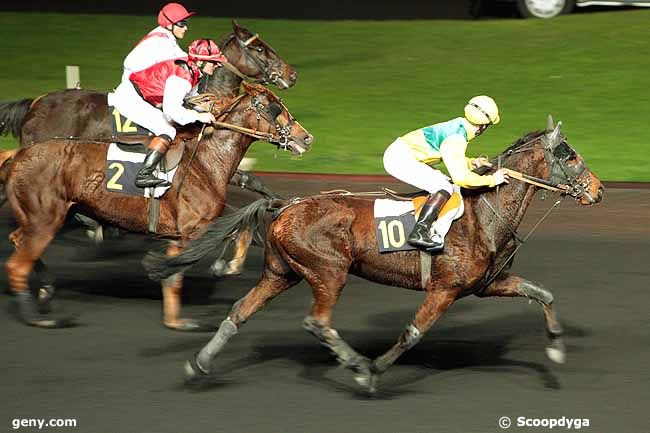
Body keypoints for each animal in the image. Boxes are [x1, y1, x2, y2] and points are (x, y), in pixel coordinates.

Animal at [144, 116, 600, 390]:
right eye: (571, 155)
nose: (598, 190)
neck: (484, 213)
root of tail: (285, 205)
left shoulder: (487, 283)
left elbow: (542, 293)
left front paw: (556, 347)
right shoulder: (445, 289)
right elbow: (413, 332)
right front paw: (374, 370)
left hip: (280, 273)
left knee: (239, 311)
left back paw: (200, 364)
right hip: (329, 272)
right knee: (317, 322)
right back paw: (357, 365)